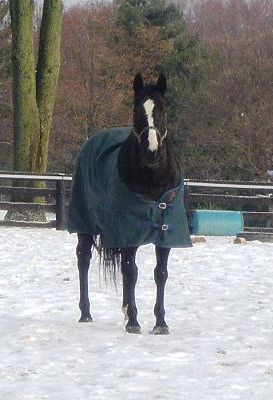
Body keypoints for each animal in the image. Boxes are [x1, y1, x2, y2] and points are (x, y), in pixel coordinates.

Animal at [67, 72, 191, 334]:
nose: (152, 150)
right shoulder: (128, 232)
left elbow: (160, 274)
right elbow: (131, 272)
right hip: (85, 226)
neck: (152, 178)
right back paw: (86, 313)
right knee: (84, 261)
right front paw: (134, 321)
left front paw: (160, 323)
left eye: (163, 109)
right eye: (137, 110)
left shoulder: (165, 235)